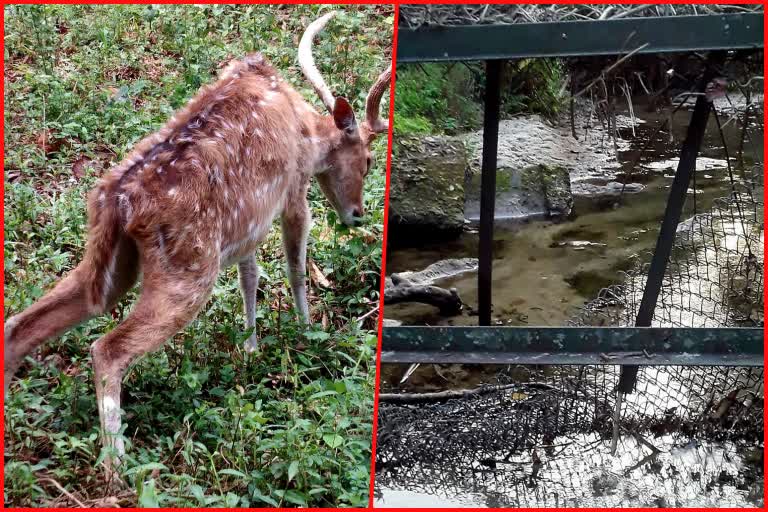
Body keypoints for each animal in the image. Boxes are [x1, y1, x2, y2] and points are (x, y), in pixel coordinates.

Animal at [4, 11, 390, 472]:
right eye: (368, 160)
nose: (358, 214)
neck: (307, 130)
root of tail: (115, 204)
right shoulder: (293, 192)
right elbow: (295, 266)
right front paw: (307, 332)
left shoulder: (247, 228)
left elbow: (249, 277)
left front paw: (251, 347)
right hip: (188, 272)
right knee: (106, 349)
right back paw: (117, 468)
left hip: (108, 263)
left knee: (21, 323)